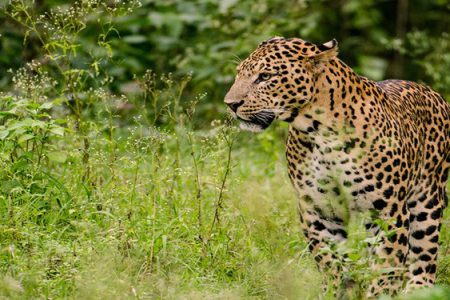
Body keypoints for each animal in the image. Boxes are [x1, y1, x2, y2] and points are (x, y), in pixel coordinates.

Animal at [225, 36, 450, 296]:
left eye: (265, 76)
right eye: (239, 74)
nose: (230, 104)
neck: (320, 133)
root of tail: (432, 91)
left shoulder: (388, 211)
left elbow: (385, 266)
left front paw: (377, 295)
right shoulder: (319, 210)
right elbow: (330, 261)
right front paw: (335, 292)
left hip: (427, 201)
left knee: (424, 255)